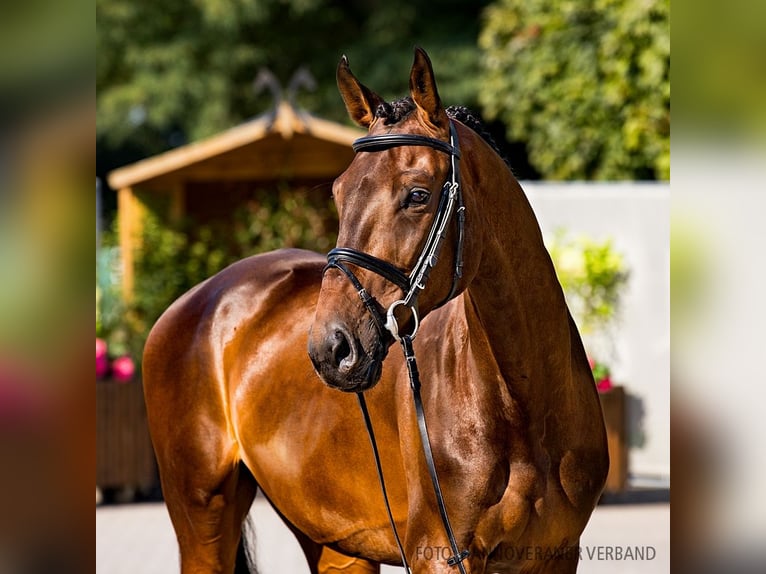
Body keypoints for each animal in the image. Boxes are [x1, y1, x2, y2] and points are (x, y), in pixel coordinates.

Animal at [144, 49, 608, 574]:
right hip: (202, 518)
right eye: (339, 192)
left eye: (418, 194)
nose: (331, 348)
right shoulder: (439, 553)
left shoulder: (555, 554)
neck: (524, 406)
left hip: (335, 542)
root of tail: (197, 300)